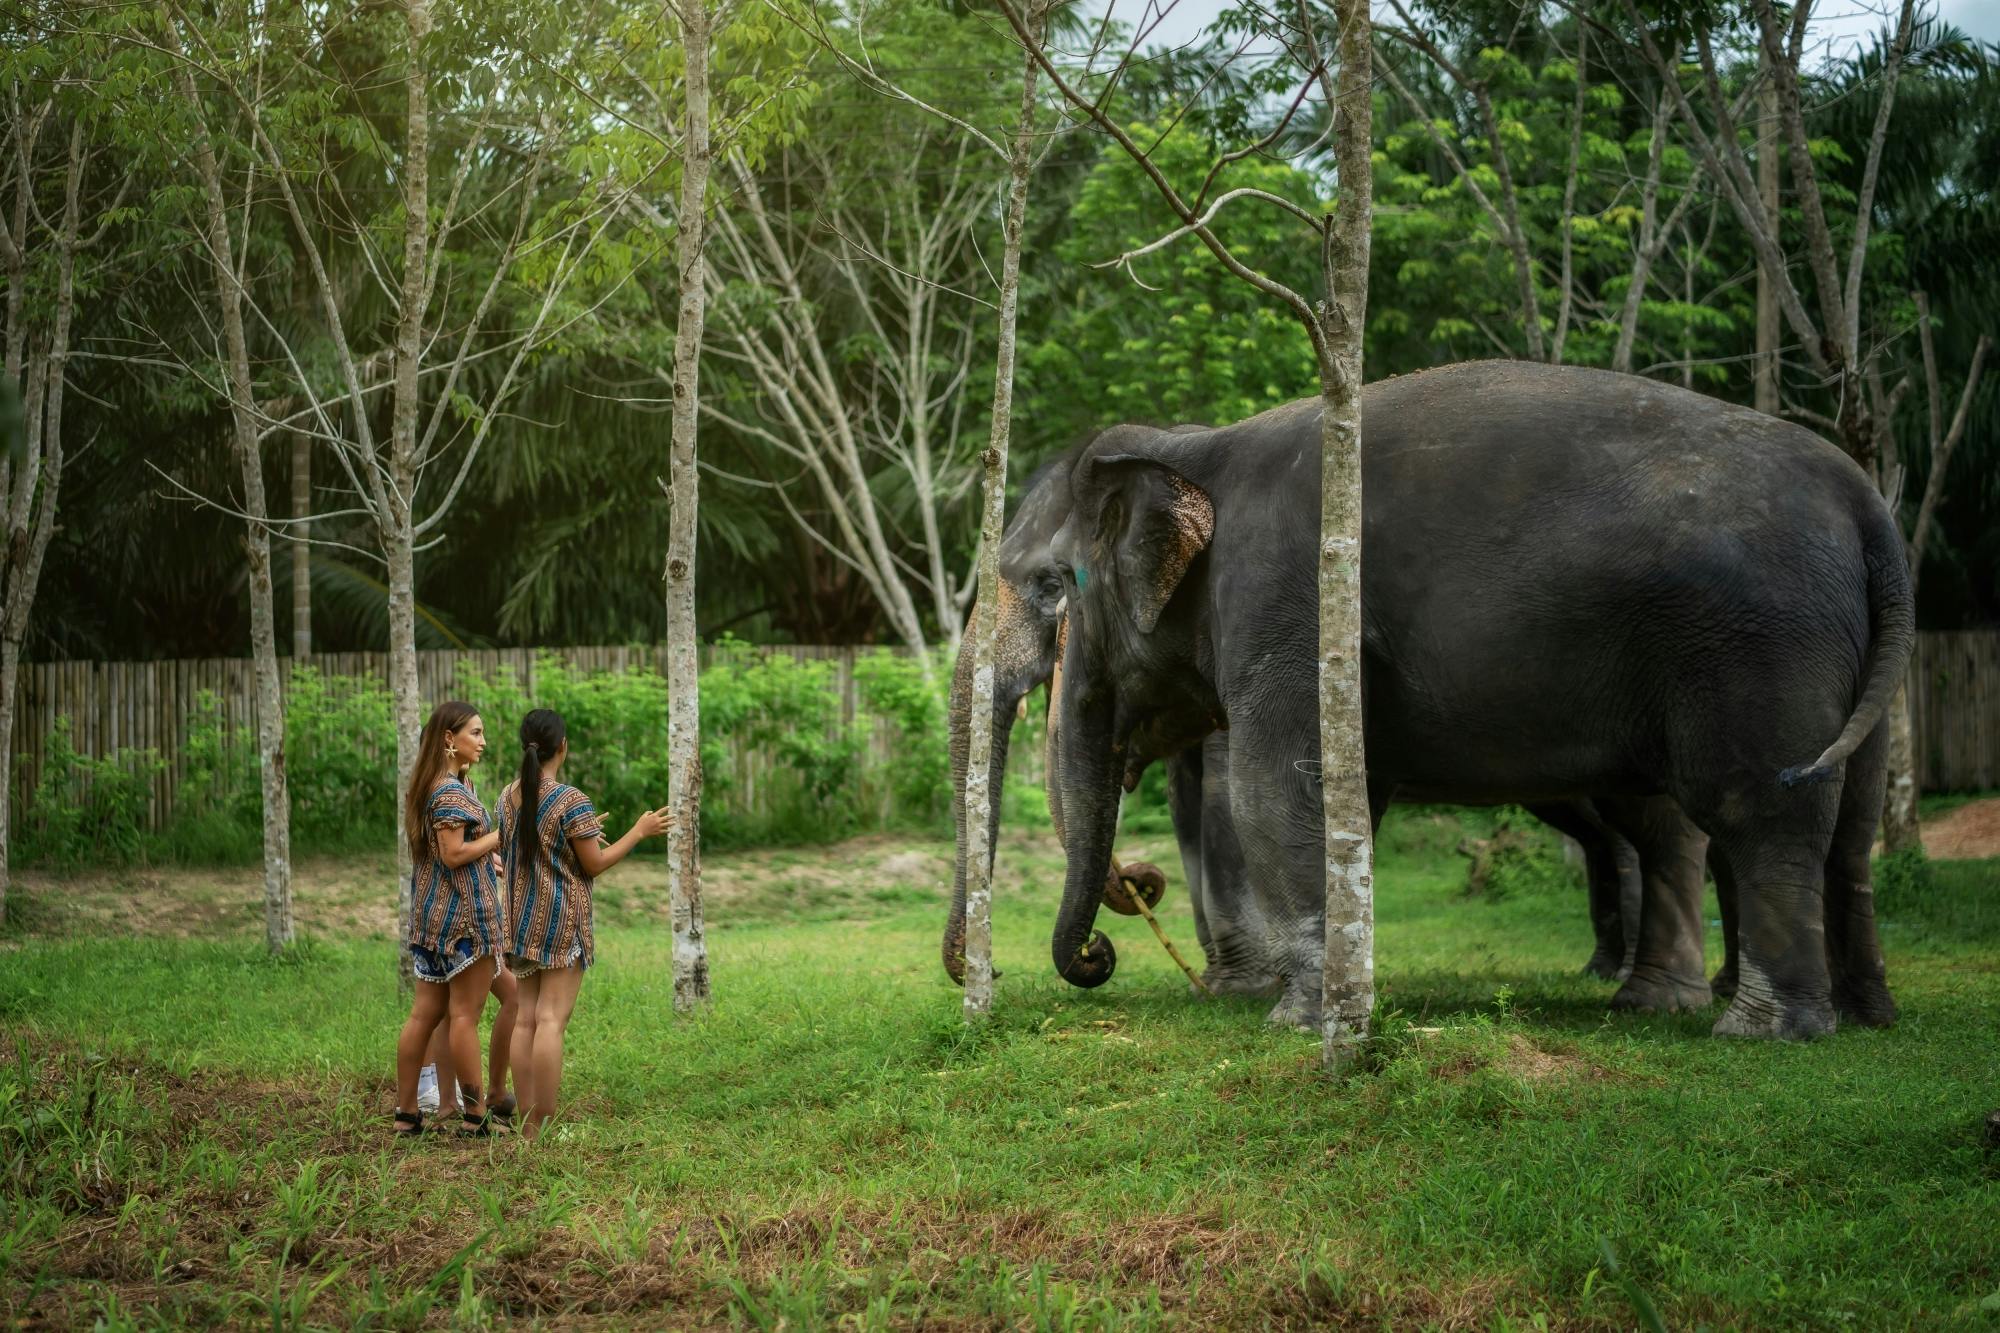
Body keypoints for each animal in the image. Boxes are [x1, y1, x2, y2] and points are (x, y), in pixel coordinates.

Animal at [1042, 360, 1911, 1040]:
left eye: (1061, 586)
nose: (1099, 952)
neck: (1200, 447)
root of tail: (1865, 499)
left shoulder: (1283, 601)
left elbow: (1272, 789)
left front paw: (1298, 1022)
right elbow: (1348, 795)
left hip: (1756, 648)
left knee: (1760, 812)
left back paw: (1760, 1029)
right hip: (1845, 650)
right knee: (1847, 827)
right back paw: (1859, 1015)